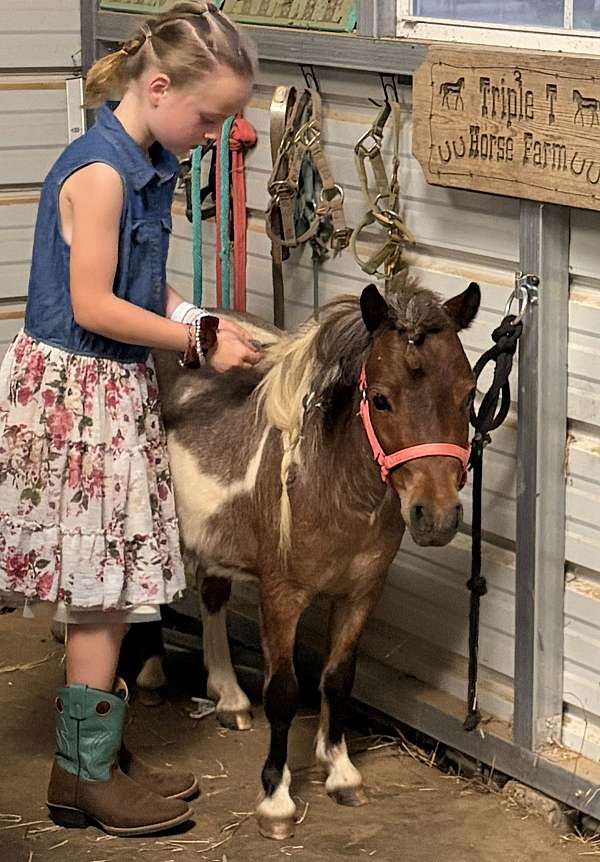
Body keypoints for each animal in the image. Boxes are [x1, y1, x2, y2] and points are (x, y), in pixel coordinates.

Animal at [126, 277, 480, 840]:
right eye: (381, 399)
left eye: (468, 394)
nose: (438, 516)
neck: (333, 482)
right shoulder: (282, 597)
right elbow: (285, 692)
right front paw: (276, 799)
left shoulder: (361, 593)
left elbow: (337, 678)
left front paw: (340, 772)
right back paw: (150, 675)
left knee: (211, 596)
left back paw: (228, 696)